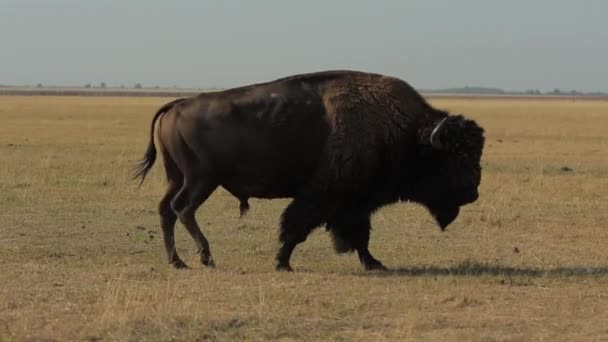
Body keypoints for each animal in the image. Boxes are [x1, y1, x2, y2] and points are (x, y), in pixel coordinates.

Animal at [133, 70, 484, 272]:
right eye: (458, 158)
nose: (473, 192)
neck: (407, 133)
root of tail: (177, 104)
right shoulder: (324, 196)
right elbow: (298, 228)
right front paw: (282, 263)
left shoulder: (354, 203)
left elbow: (359, 236)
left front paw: (374, 263)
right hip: (201, 180)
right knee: (182, 209)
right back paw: (205, 257)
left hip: (177, 177)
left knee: (166, 210)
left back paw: (178, 262)